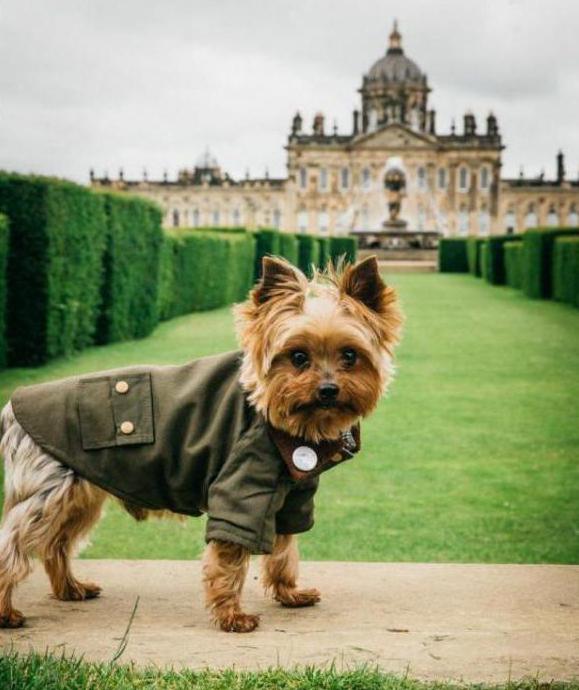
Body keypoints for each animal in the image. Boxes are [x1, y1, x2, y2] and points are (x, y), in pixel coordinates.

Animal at [0, 253, 402, 628]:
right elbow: (230, 556)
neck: (294, 425)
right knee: (15, 542)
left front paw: (290, 593)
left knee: (56, 544)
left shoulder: (292, 494)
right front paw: (231, 615)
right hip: (50, 491)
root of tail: (11, 411)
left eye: (350, 355)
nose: (328, 390)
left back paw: (70, 588)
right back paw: (8, 613)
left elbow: (284, 548)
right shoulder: (240, 488)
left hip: (79, 493)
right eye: (298, 357)